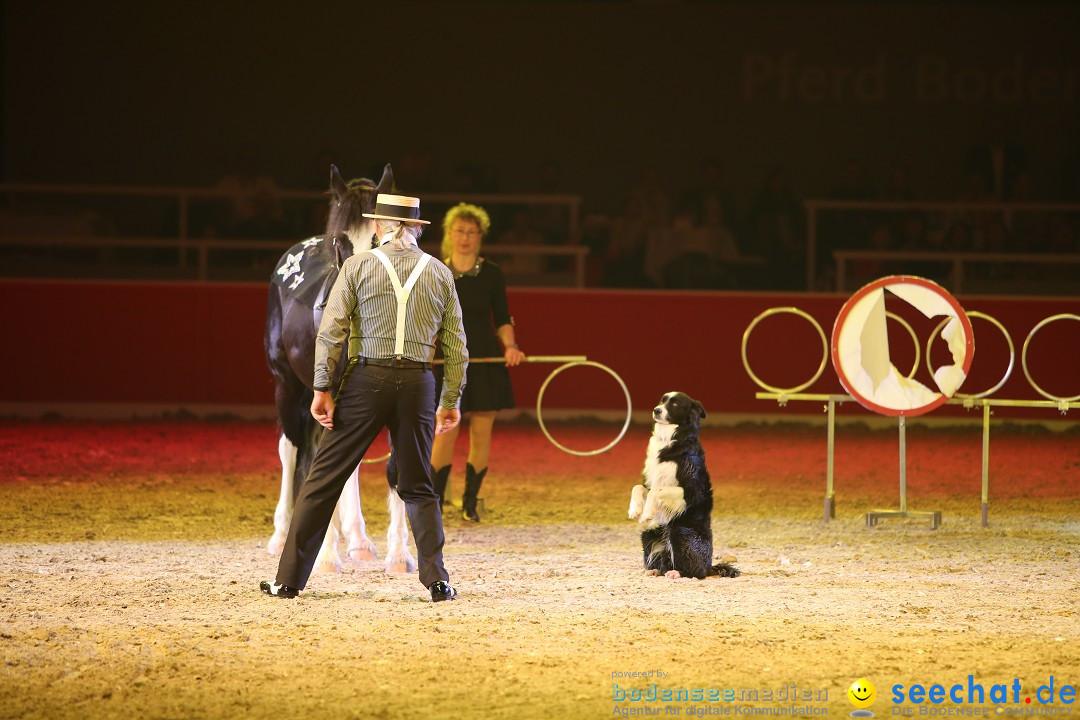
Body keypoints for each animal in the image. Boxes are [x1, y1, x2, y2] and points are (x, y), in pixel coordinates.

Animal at [626, 390, 743, 582]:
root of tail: (710, 565)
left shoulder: (691, 491)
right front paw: (635, 510)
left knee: (697, 572)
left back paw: (677, 573)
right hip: (649, 534)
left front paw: (647, 513)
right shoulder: (650, 480)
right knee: (665, 562)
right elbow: (638, 487)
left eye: (675, 404)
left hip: (679, 531)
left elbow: (656, 491)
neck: (670, 438)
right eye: (662, 401)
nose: (656, 410)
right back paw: (655, 571)